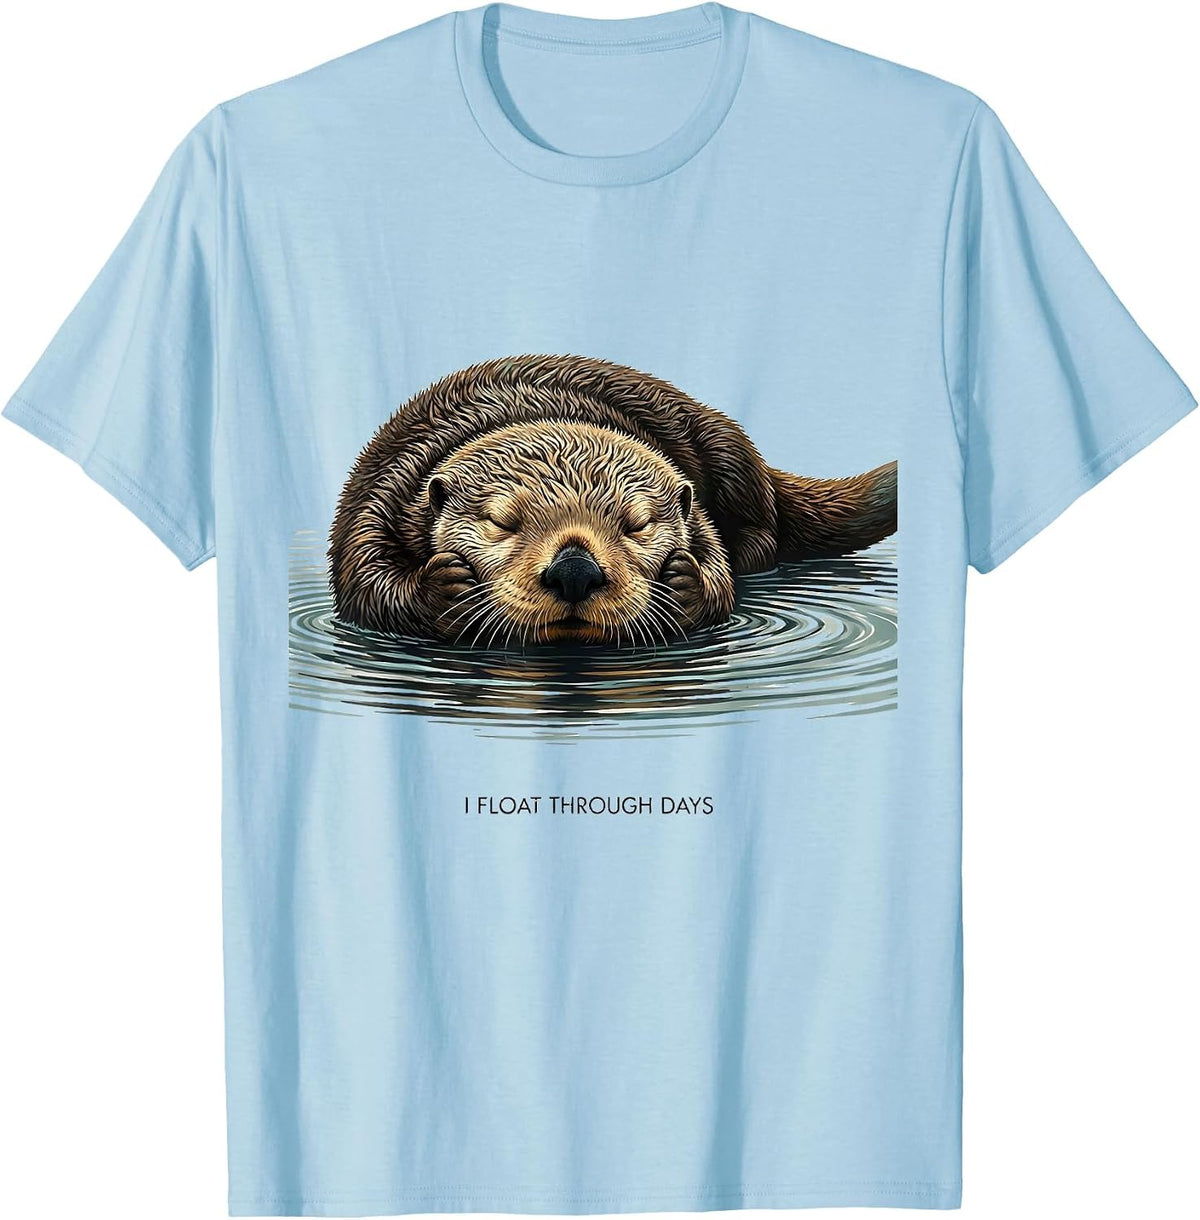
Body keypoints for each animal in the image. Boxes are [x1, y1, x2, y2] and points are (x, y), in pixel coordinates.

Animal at [329, 355, 896, 646]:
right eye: (502, 521)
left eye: (637, 525)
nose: (574, 570)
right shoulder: (387, 490)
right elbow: (365, 580)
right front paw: (443, 588)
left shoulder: (699, 512)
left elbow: (717, 572)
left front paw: (684, 583)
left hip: (726, 450)